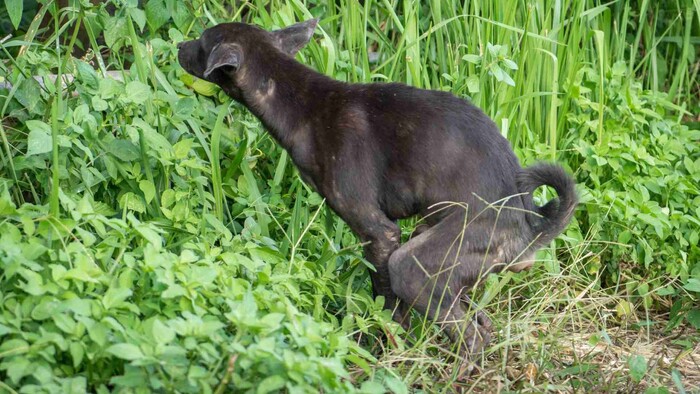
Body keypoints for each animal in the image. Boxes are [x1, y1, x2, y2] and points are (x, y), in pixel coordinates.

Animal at [178, 20, 576, 356]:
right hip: (442, 255)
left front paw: (387, 352)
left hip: (415, 265)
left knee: (470, 335)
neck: (302, 104)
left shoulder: (378, 232)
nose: (179, 45)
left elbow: (386, 305)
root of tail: (531, 224)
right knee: (479, 320)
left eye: (201, 43)